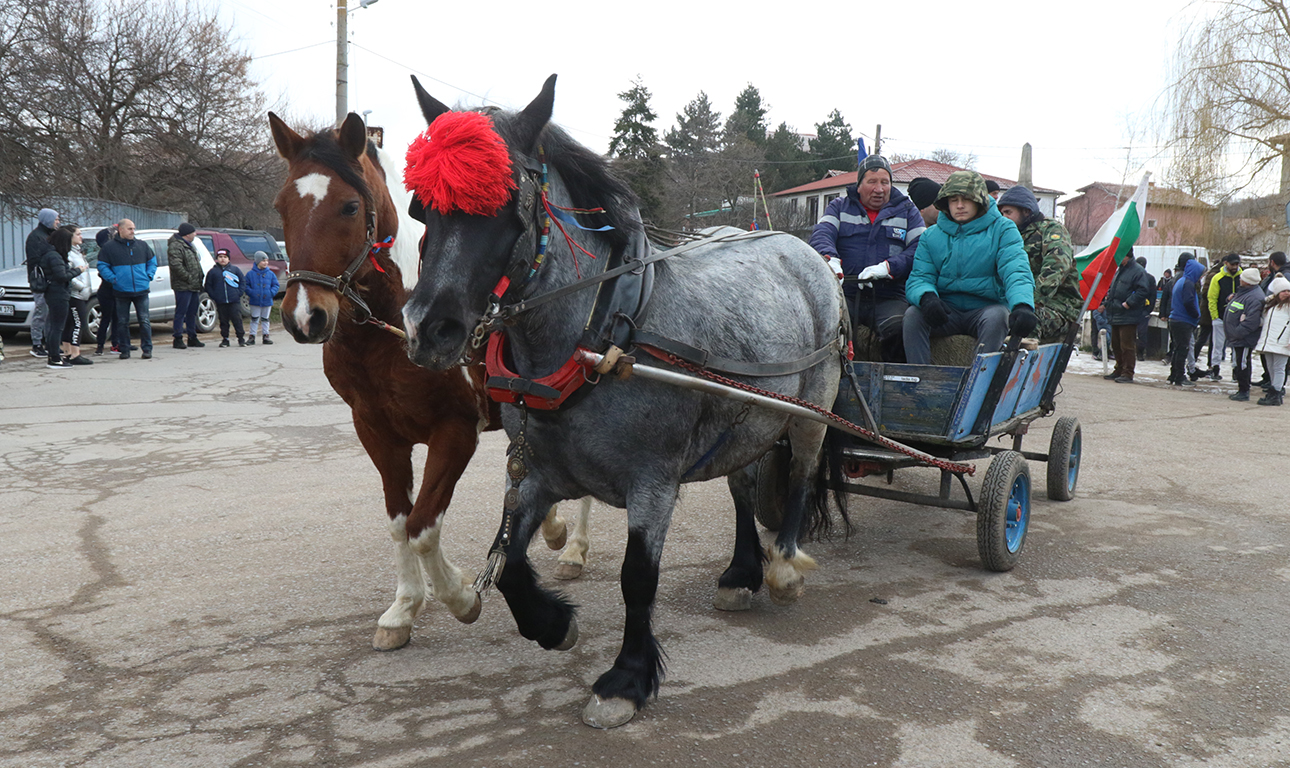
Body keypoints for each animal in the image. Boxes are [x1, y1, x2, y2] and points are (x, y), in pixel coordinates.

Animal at [272, 114, 593, 653]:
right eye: (281, 206)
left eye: (350, 206)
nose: (304, 317)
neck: (390, 332)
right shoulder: (377, 433)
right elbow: (400, 522)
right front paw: (403, 608)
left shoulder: (455, 432)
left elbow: (423, 525)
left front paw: (461, 596)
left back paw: (575, 549)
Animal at [402, 75, 846, 727]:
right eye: (420, 207)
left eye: (509, 204)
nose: (428, 328)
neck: (599, 332)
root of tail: (800, 248)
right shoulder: (533, 472)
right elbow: (506, 563)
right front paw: (553, 624)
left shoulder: (652, 481)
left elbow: (638, 578)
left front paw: (626, 679)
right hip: (744, 420)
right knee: (743, 484)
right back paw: (742, 572)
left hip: (810, 409)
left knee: (802, 475)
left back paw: (784, 566)